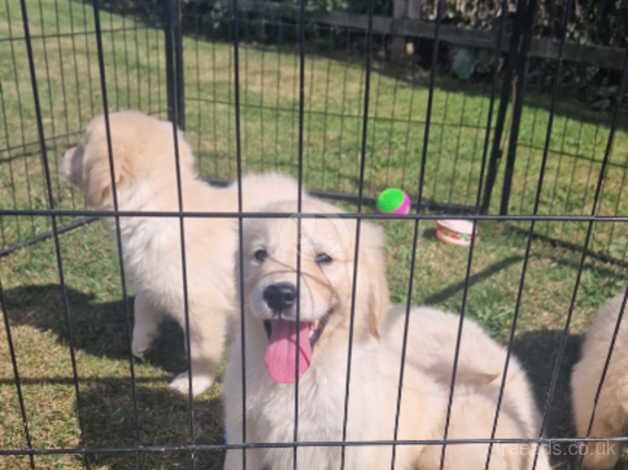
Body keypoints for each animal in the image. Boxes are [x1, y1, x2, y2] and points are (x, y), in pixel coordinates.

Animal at [61, 111, 302, 396]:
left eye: (80, 147)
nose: (62, 154)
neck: (157, 208)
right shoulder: (157, 279)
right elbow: (141, 303)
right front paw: (140, 340)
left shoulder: (201, 308)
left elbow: (200, 351)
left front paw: (192, 382)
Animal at [223, 198, 548, 470]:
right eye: (260, 255)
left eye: (324, 258)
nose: (278, 294)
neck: (300, 378)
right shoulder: (244, 434)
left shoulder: (351, 450)